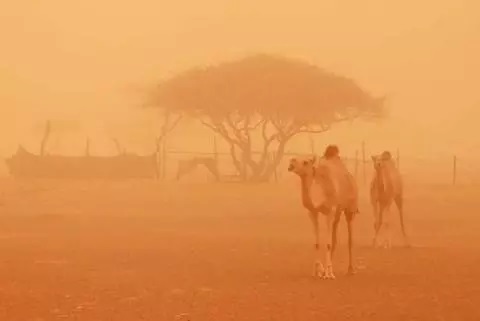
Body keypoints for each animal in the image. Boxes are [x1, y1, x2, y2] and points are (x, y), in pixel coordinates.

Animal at [286, 144, 358, 278]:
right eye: (294, 159)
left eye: (305, 162)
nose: (291, 163)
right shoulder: (313, 212)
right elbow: (318, 243)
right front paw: (318, 271)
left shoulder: (329, 211)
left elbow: (328, 243)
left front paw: (329, 274)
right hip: (337, 214)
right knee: (334, 238)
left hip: (350, 209)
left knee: (350, 239)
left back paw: (350, 269)